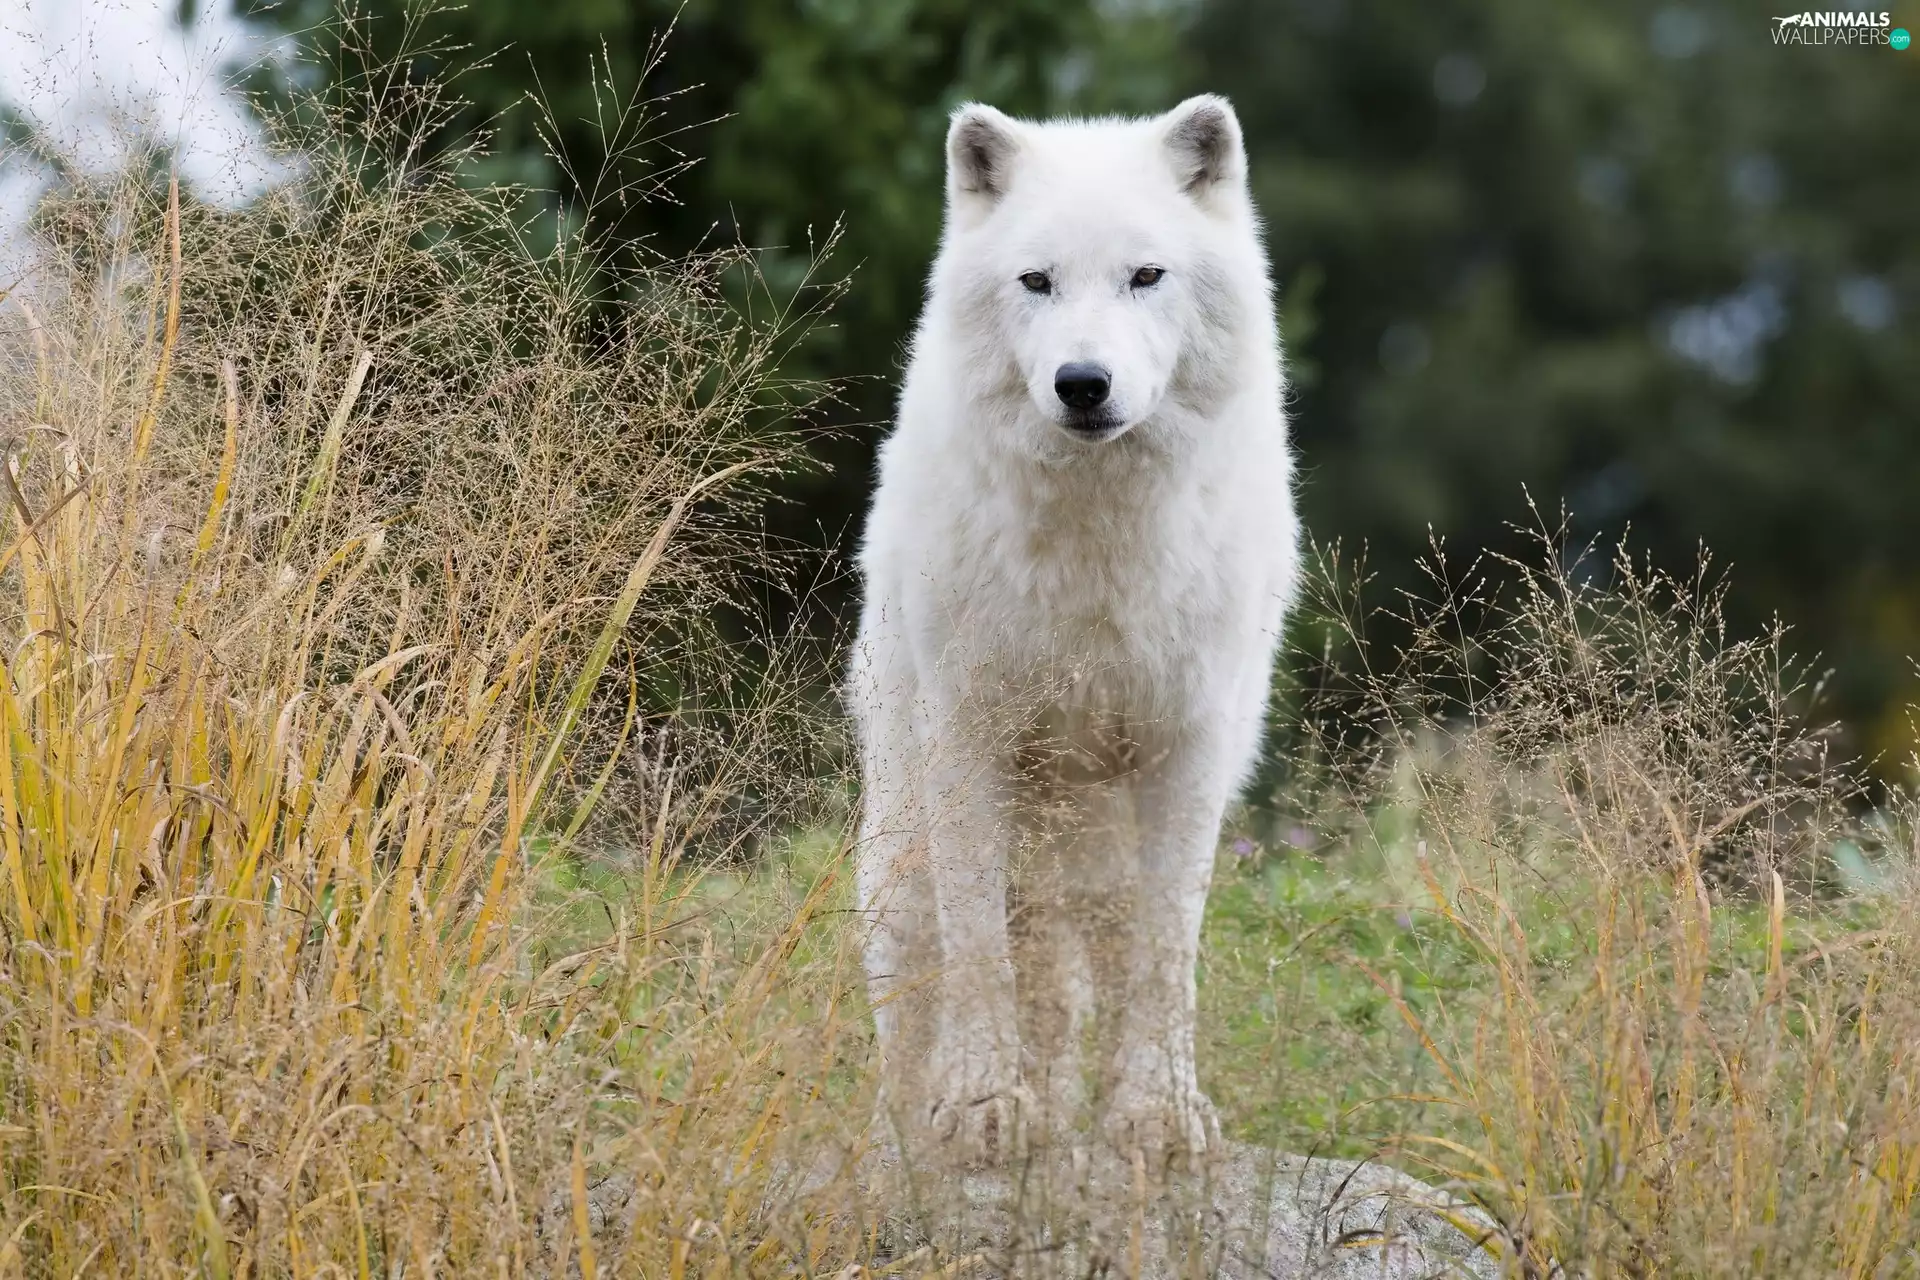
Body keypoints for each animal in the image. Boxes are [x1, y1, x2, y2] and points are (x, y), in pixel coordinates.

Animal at [847, 94, 1299, 1168]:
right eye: (1037, 281)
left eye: (1146, 276)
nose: (1082, 383)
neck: (1100, 545)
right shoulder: (967, 738)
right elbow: (979, 949)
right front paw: (980, 1108)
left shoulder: (1190, 748)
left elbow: (1168, 952)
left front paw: (1160, 1117)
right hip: (904, 862)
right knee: (932, 1006)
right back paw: (925, 1134)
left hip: (1092, 853)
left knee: (1085, 969)